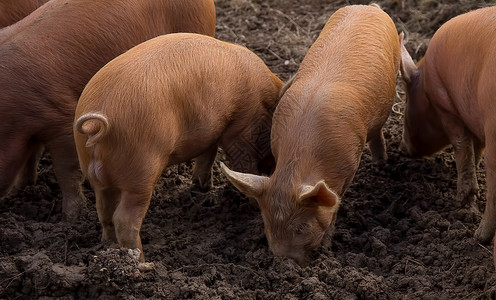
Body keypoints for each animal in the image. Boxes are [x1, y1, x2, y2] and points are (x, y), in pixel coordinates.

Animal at [72, 32, 282, 262]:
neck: (264, 103)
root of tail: (96, 125)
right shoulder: (240, 127)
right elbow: (243, 161)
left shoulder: (210, 131)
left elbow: (207, 155)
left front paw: (203, 188)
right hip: (140, 172)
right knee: (124, 219)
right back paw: (143, 263)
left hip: (97, 176)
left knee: (104, 211)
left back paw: (109, 246)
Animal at [219, 4, 402, 262]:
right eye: (267, 222)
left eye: (301, 227)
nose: (283, 260)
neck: (301, 155)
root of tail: (369, 7)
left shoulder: (349, 166)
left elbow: (334, 205)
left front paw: (327, 248)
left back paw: (381, 164)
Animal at [400, 4, 496, 243]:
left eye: (405, 101)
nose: (402, 147)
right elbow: (474, 150)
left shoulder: (445, 105)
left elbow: (462, 147)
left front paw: (464, 203)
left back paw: (478, 236)